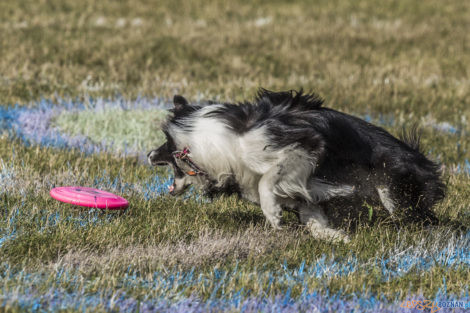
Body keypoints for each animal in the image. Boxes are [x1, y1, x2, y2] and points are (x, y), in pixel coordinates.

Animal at [149, 89, 446, 240]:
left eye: (164, 143)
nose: (150, 155)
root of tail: (422, 157)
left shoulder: (303, 146)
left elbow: (268, 181)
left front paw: (273, 216)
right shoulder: (303, 188)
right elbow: (311, 214)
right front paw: (335, 236)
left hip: (393, 189)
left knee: (421, 218)